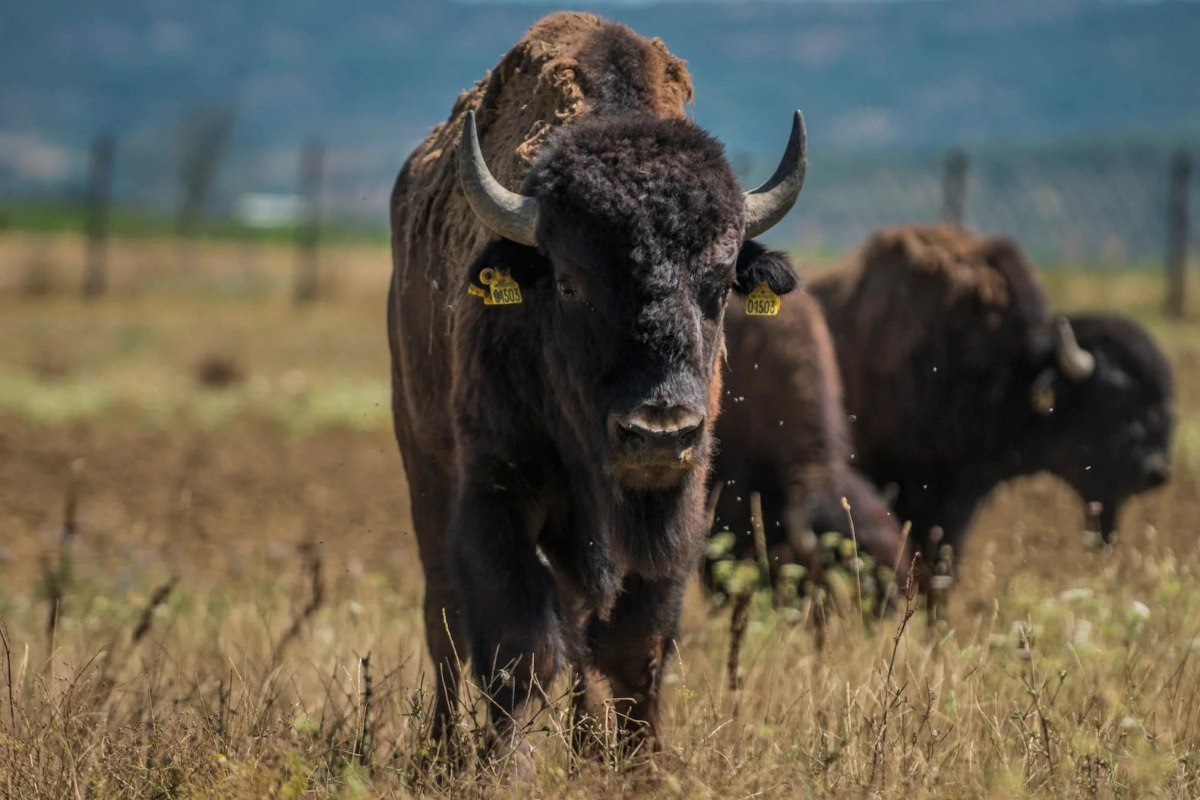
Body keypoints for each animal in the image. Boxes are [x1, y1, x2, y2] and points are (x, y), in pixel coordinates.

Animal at [388, 10, 811, 762]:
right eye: (568, 282)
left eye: (719, 283)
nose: (658, 433)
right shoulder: (498, 491)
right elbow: (520, 648)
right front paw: (506, 768)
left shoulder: (677, 507)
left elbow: (634, 648)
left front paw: (639, 763)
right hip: (425, 467)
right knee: (444, 622)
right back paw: (441, 747)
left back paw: (584, 742)